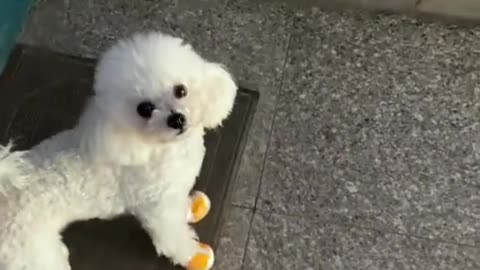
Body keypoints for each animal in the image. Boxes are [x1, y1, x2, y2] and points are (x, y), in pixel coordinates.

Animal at [0, 31, 238, 270]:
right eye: (145, 109)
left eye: (181, 90)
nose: (177, 119)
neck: (162, 149)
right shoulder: (158, 209)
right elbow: (173, 238)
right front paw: (196, 255)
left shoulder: (173, 193)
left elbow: (182, 206)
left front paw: (193, 207)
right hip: (34, 254)